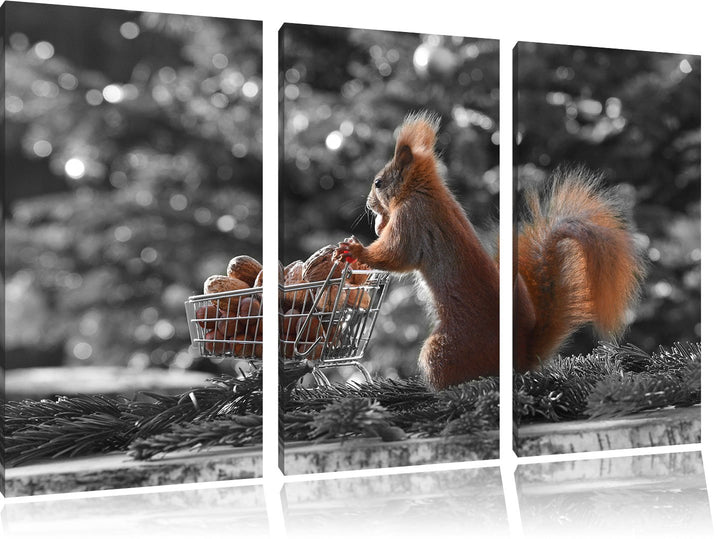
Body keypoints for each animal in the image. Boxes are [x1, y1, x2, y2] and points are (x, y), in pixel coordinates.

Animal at [334, 112, 644, 389]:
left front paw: (357, 250)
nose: (369, 204)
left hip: (444, 350)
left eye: (378, 183)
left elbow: (396, 255)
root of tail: (521, 357)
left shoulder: (413, 219)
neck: (423, 191)